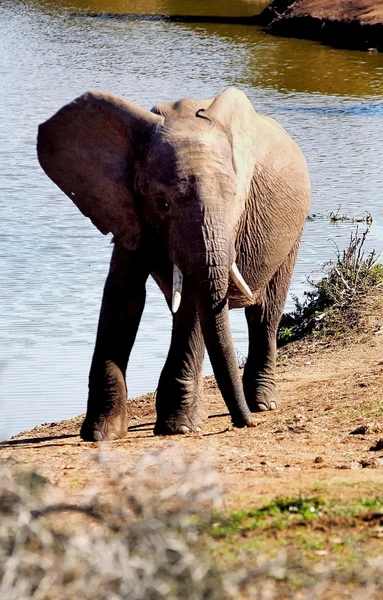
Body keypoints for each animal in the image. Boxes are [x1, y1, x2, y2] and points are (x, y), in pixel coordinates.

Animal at [36, 86, 312, 438]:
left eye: (235, 198)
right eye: (162, 203)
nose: (242, 423)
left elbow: (192, 299)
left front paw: (178, 427)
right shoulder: (128, 207)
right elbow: (123, 295)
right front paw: (101, 433)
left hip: (295, 230)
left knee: (264, 312)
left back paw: (262, 404)